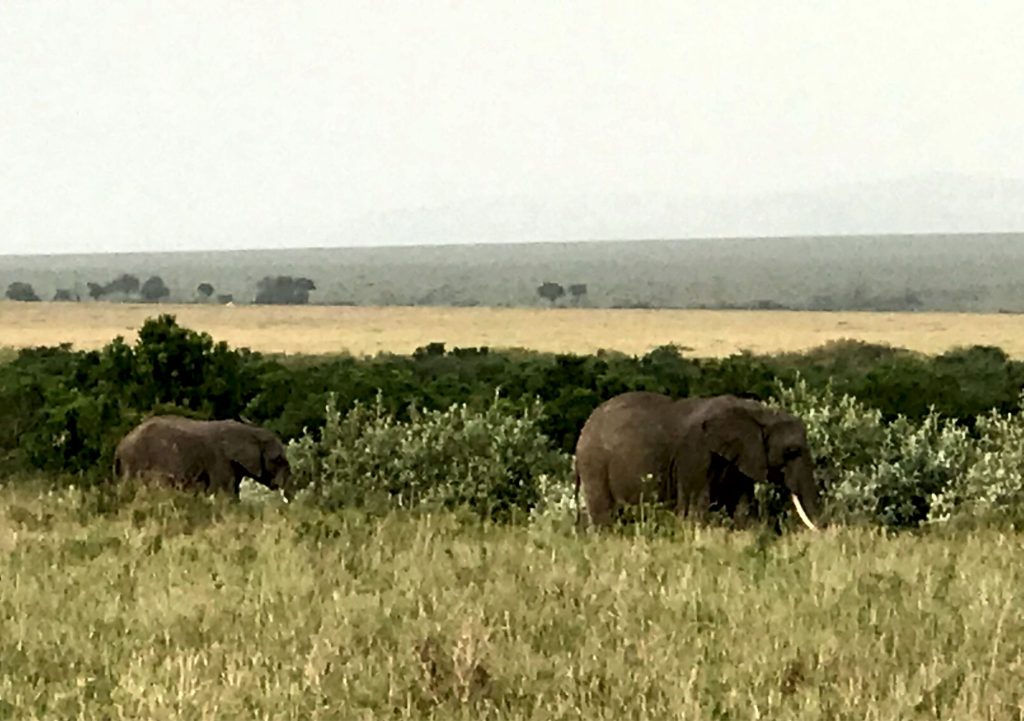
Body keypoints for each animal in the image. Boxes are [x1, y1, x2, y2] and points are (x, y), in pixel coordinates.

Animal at [577, 391, 823, 532]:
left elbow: (742, 506)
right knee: (604, 515)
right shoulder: (696, 454)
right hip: (594, 465)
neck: (759, 413)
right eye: (792, 452)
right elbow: (696, 506)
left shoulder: (741, 458)